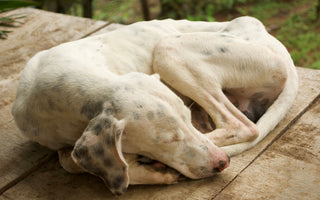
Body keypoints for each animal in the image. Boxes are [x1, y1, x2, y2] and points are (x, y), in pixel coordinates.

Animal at [11, 16, 298, 195]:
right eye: (168, 140)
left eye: (185, 121)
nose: (222, 162)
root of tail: (271, 39)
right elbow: (70, 160)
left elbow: (73, 160)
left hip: (168, 48)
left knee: (241, 125)